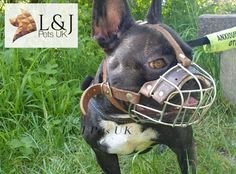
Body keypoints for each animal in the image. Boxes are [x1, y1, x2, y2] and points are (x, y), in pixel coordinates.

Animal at [81, 0, 197, 173]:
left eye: (191, 56)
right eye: (157, 63)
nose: (194, 79)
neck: (127, 119)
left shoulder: (185, 146)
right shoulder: (103, 156)